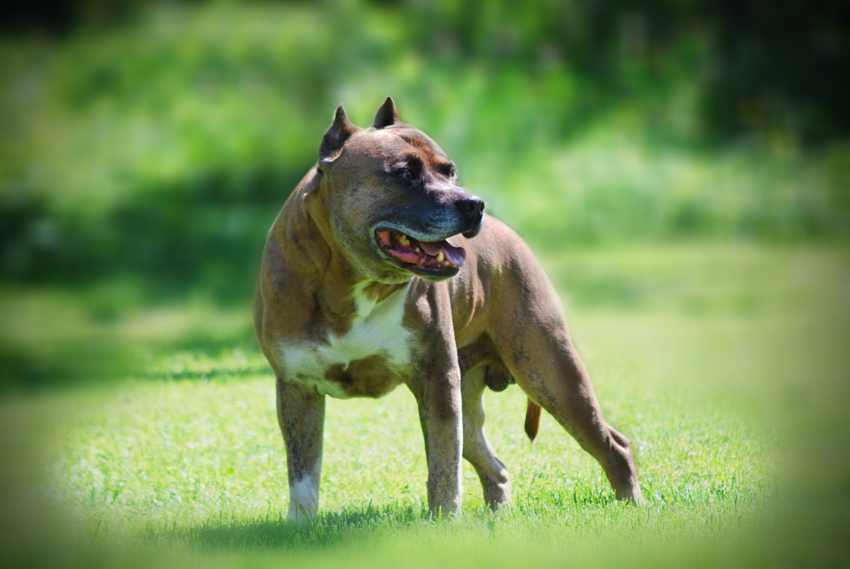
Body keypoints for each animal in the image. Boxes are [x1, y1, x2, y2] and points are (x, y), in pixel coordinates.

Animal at [253, 97, 644, 520]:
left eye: (450, 171)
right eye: (405, 174)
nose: (473, 204)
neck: (353, 284)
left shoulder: (437, 380)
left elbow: (443, 466)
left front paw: (444, 522)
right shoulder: (297, 388)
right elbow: (303, 474)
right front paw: (301, 527)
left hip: (553, 376)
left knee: (612, 444)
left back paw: (633, 504)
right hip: (477, 402)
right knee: (494, 464)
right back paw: (498, 516)